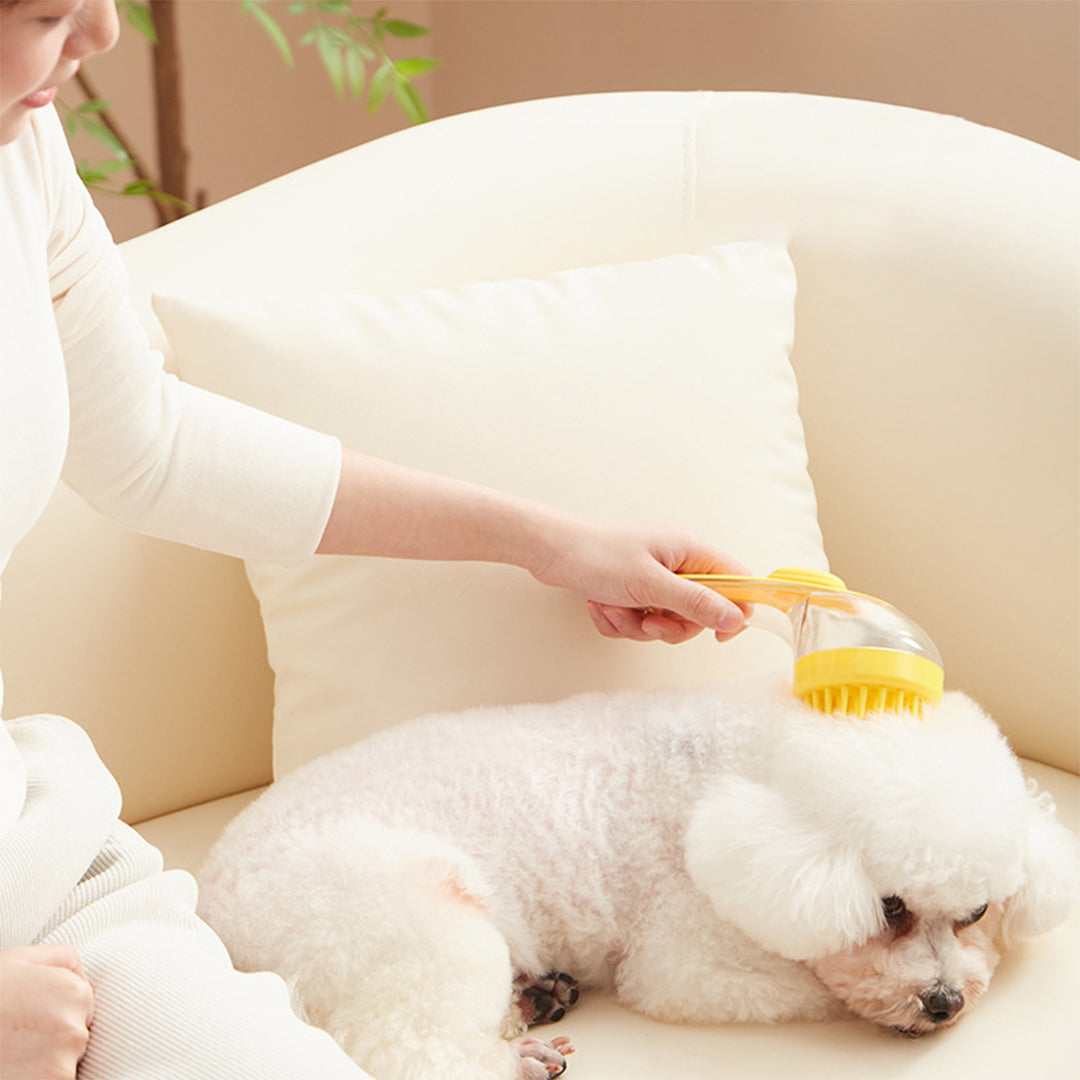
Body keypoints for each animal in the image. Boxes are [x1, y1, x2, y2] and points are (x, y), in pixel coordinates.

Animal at [198, 678, 1075, 1075]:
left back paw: (534, 999)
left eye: (975, 912)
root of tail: (214, 899)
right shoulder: (685, 960)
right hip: (417, 921)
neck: (747, 767)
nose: (944, 1003)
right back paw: (517, 1056)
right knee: (405, 1049)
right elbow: (803, 981)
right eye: (890, 908)